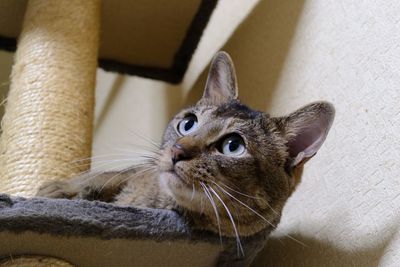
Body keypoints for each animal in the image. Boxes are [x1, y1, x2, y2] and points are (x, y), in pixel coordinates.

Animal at [36, 50, 334, 251]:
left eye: (233, 146)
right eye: (188, 123)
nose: (177, 151)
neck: (156, 203)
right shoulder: (139, 170)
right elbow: (101, 177)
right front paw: (58, 190)